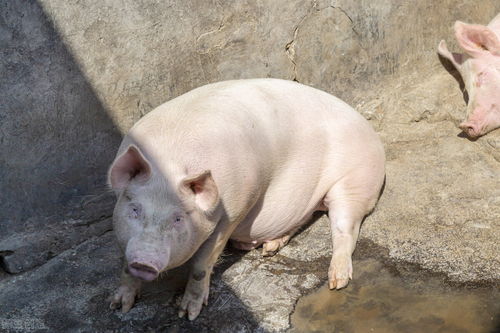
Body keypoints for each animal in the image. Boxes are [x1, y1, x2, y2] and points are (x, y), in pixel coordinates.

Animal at [107, 78, 384, 320]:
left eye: (178, 218)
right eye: (134, 209)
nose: (144, 262)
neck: (170, 161)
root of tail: (368, 129)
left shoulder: (235, 208)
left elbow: (201, 265)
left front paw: (188, 315)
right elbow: (123, 263)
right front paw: (118, 306)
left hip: (356, 179)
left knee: (345, 228)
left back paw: (337, 281)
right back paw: (269, 249)